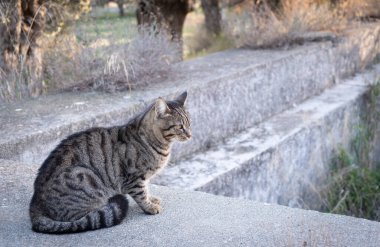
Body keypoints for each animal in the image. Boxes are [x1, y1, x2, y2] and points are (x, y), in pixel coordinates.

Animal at [29, 91, 191, 233]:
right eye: (180, 127)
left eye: (189, 124)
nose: (190, 135)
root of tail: (34, 206)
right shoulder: (134, 178)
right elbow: (141, 194)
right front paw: (150, 207)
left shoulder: (142, 178)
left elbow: (147, 188)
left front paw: (152, 199)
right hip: (84, 177)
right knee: (82, 218)